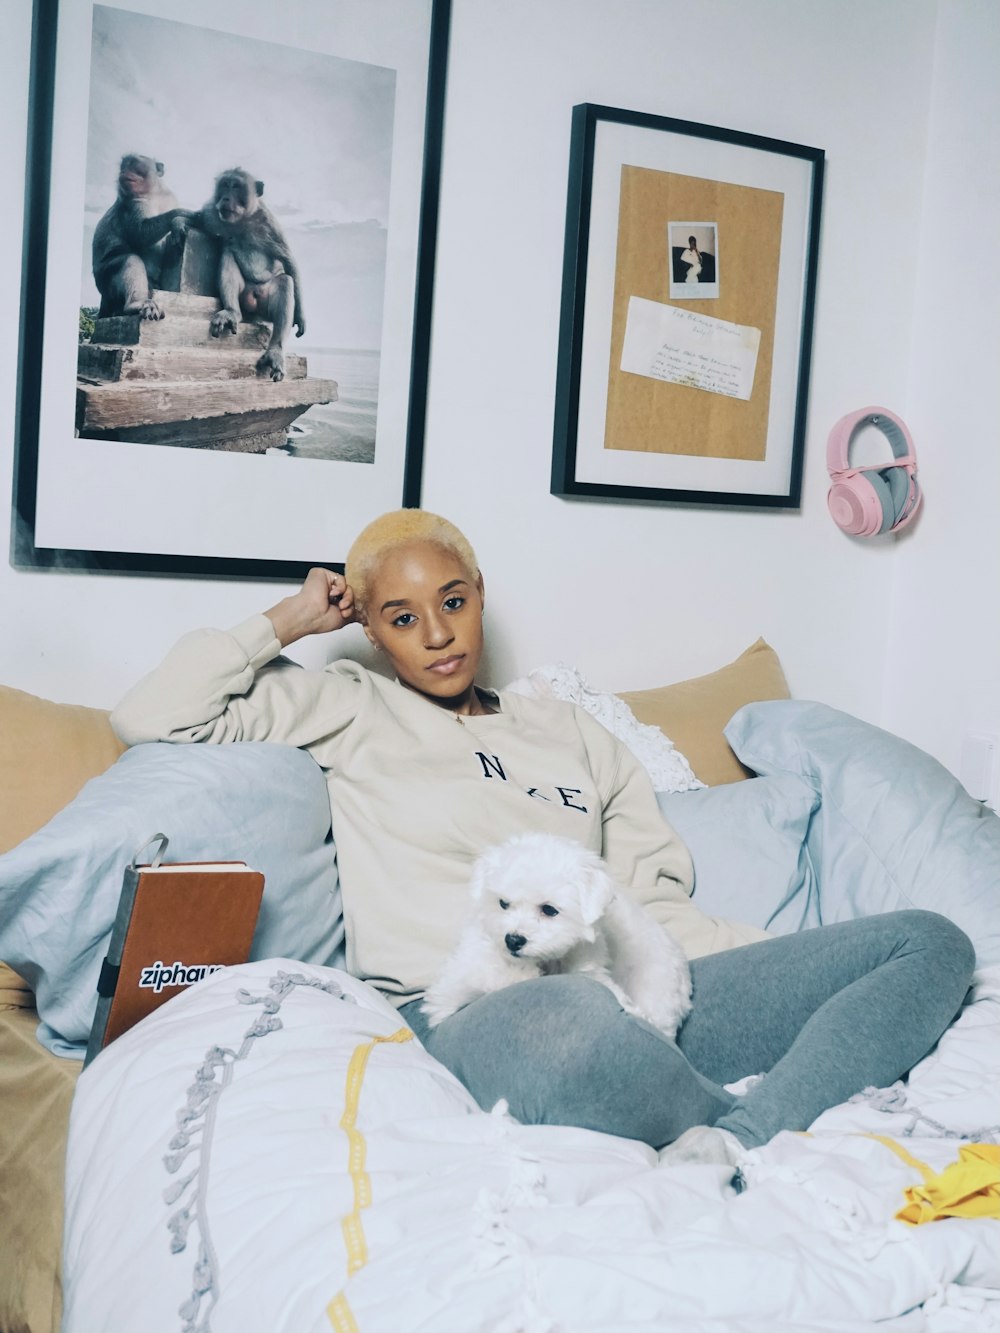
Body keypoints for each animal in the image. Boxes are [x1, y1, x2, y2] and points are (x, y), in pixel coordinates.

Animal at [424, 831, 698, 1039]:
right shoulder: (464, 972)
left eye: (549, 910)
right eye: (503, 903)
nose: (512, 940)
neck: (548, 960)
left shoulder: (589, 965)